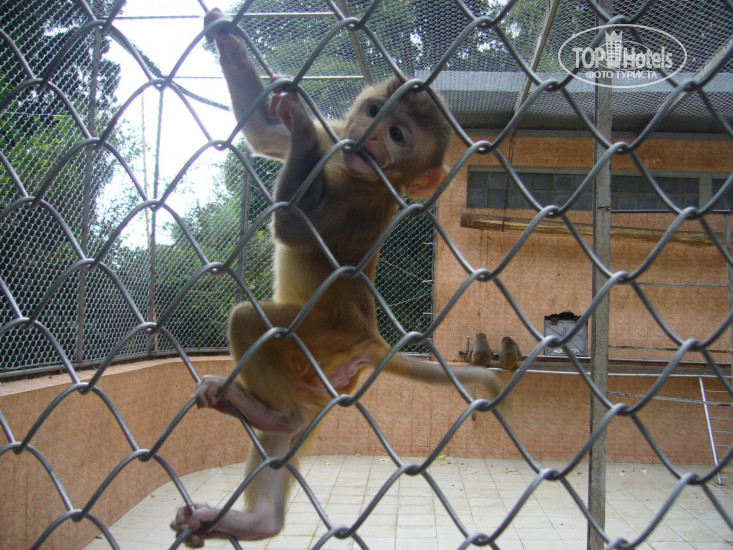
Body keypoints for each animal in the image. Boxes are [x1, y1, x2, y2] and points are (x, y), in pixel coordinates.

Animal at [170, 9, 506, 546]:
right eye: (372, 111)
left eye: (397, 135)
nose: (367, 137)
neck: (353, 170)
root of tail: (368, 332)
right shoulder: (337, 136)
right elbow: (264, 133)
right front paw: (227, 37)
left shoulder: (359, 202)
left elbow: (290, 225)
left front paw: (301, 129)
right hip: (314, 377)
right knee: (283, 440)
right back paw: (258, 516)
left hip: (323, 335)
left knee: (254, 323)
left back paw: (270, 414)